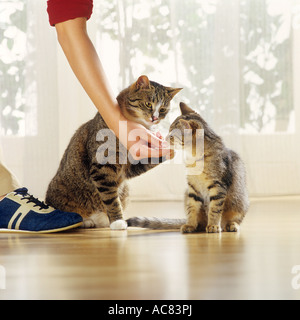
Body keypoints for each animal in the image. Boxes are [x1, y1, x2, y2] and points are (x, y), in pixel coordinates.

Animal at [44, 75, 180, 230]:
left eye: (163, 109)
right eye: (148, 104)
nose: (155, 118)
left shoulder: (126, 169)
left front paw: (168, 150)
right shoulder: (102, 168)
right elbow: (111, 199)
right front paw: (118, 221)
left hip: (126, 189)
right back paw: (85, 221)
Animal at [127, 102, 250, 232]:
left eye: (172, 136)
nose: (165, 138)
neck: (194, 159)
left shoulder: (218, 187)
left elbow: (214, 210)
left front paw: (213, 225)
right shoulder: (192, 188)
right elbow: (192, 209)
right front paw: (190, 224)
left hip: (240, 201)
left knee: (232, 219)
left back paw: (230, 225)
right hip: (186, 194)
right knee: (200, 222)